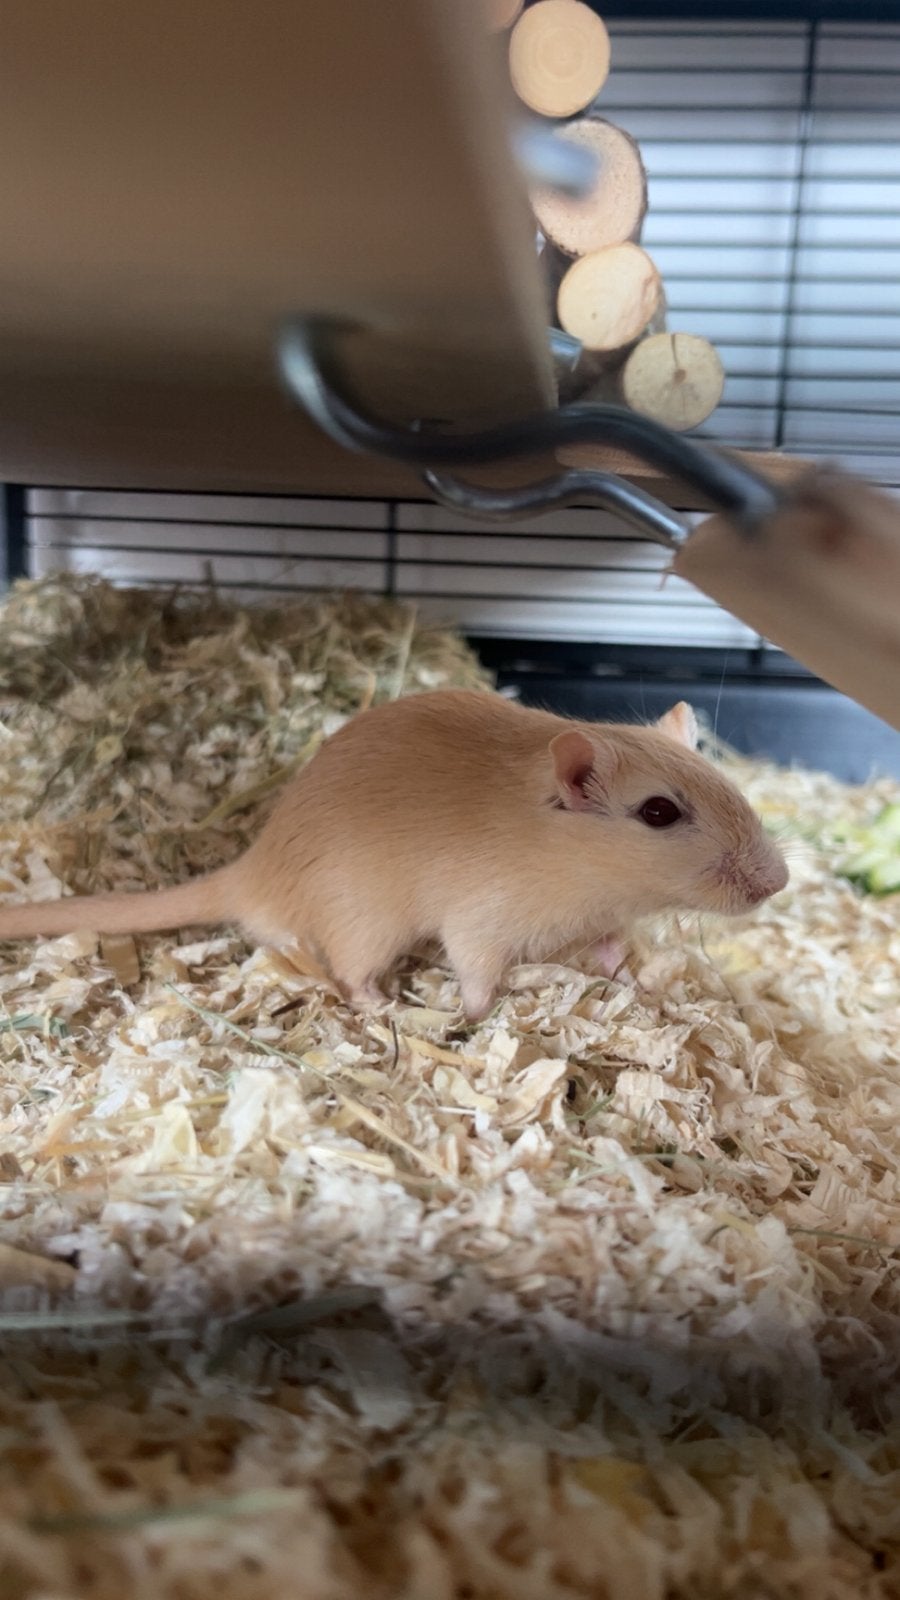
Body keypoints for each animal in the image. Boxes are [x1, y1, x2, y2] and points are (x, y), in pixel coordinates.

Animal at [0, 690, 788, 1018]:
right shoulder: (482, 923)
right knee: (350, 977)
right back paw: (387, 1009)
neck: (579, 867)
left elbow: (614, 950)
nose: (777, 883)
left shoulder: (601, 918)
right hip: (367, 924)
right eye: (658, 812)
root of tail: (251, 873)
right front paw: (474, 1016)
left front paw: (637, 983)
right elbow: (477, 975)